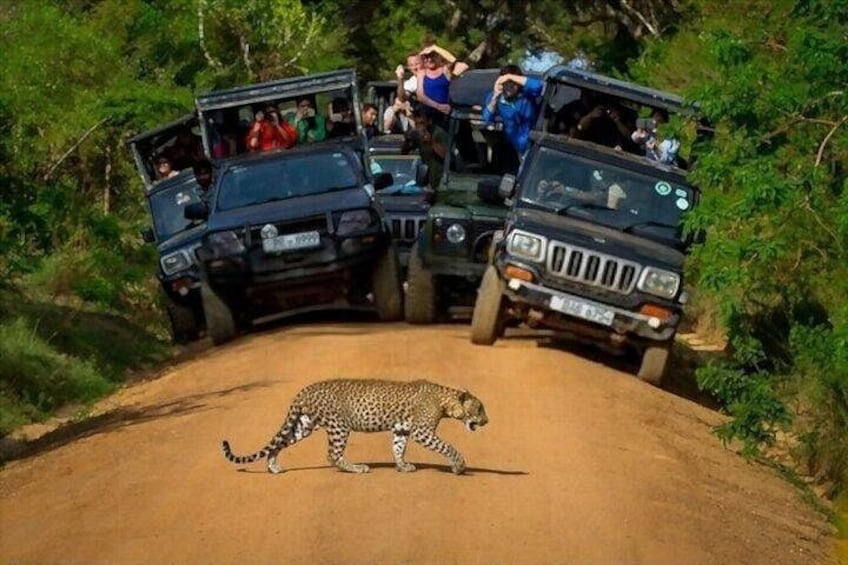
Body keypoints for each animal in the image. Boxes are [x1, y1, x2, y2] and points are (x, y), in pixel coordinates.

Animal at [221, 378, 488, 475]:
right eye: (479, 409)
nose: (487, 421)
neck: (445, 401)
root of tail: (305, 389)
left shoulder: (401, 429)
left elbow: (398, 448)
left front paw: (402, 466)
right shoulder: (422, 432)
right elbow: (447, 447)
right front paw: (459, 466)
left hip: (304, 424)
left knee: (280, 443)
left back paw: (274, 466)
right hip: (339, 426)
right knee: (332, 454)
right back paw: (357, 468)